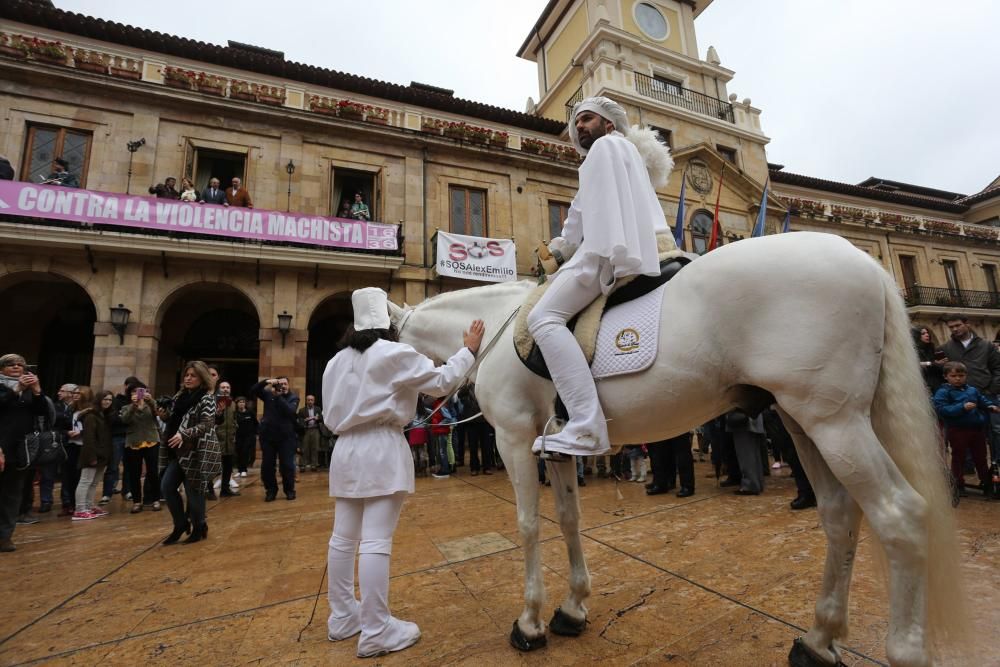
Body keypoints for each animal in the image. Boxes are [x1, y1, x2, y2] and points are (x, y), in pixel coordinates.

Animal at [390, 232, 968, 664]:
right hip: (806, 421)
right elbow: (569, 520)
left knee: (899, 515)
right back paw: (819, 640)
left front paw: (530, 622)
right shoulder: (554, 446)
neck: (498, 324)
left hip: (834, 423)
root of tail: (865, 262)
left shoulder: (513, 436)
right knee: (840, 515)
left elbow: (530, 526)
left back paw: (901, 648)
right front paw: (573, 608)